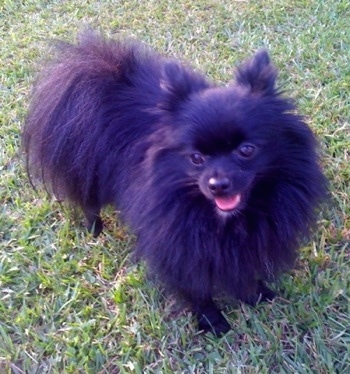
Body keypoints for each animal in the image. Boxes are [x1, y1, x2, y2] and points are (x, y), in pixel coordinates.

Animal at [23, 31, 326, 336]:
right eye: (196, 158)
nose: (218, 184)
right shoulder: (177, 241)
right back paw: (94, 228)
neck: (224, 219)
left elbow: (245, 268)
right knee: (88, 201)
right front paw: (212, 321)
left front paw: (256, 294)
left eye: (247, 150)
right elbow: (195, 288)